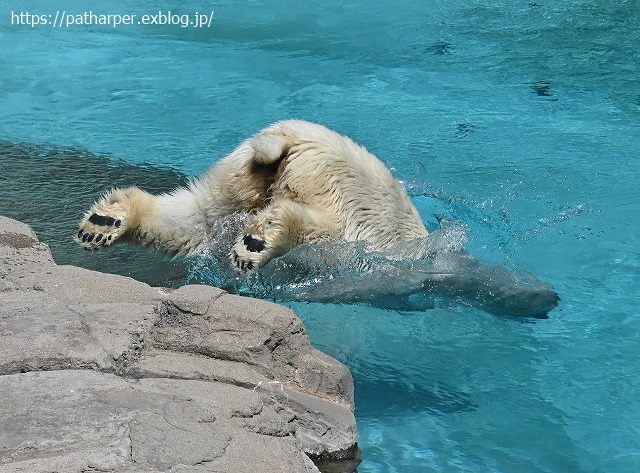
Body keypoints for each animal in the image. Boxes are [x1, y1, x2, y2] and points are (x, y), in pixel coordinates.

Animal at [76, 118, 430, 270]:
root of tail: (289, 138)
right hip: (336, 196)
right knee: (317, 228)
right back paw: (259, 241)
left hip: (239, 170)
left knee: (197, 219)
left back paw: (105, 221)